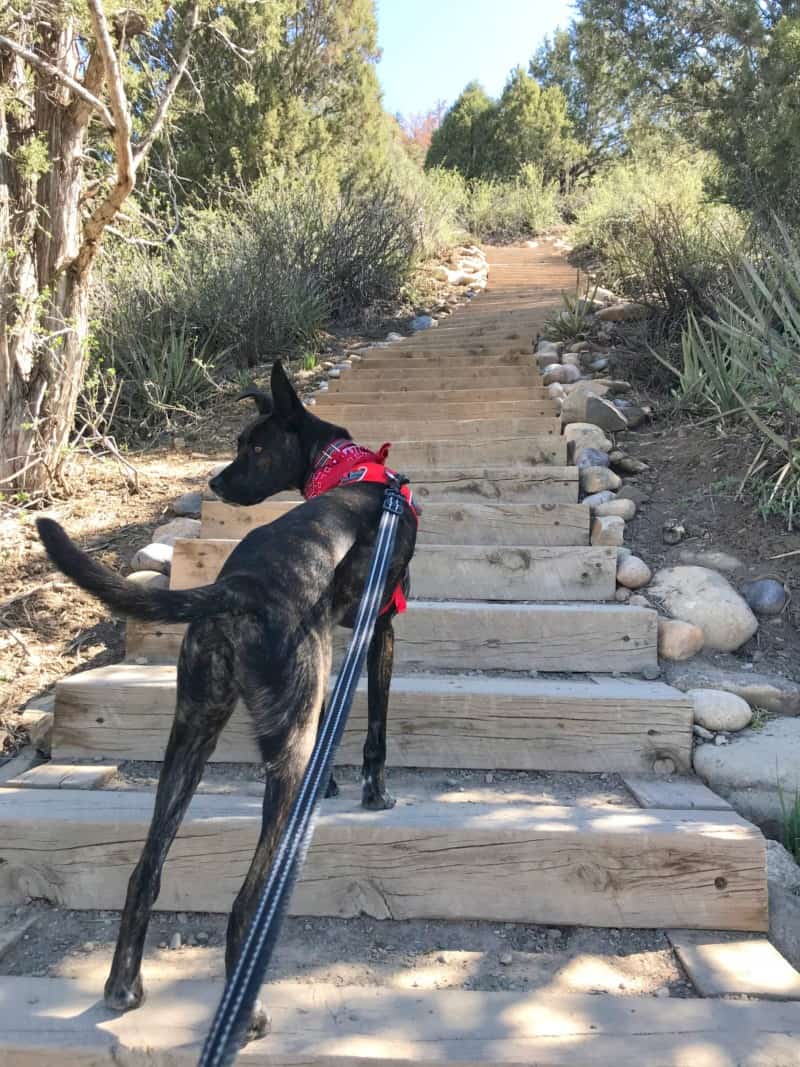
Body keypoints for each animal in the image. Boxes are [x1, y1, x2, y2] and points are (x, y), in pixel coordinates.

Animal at [36, 358, 420, 1032]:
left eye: (254, 447)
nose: (214, 482)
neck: (351, 468)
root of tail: (237, 587)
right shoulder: (382, 627)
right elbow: (374, 729)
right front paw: (374, 792)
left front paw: (333, 783)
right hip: (284, 738)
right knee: (246, 900)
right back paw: (247, 1007)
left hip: (192, 731)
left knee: (145, 871)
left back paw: (122, 985)